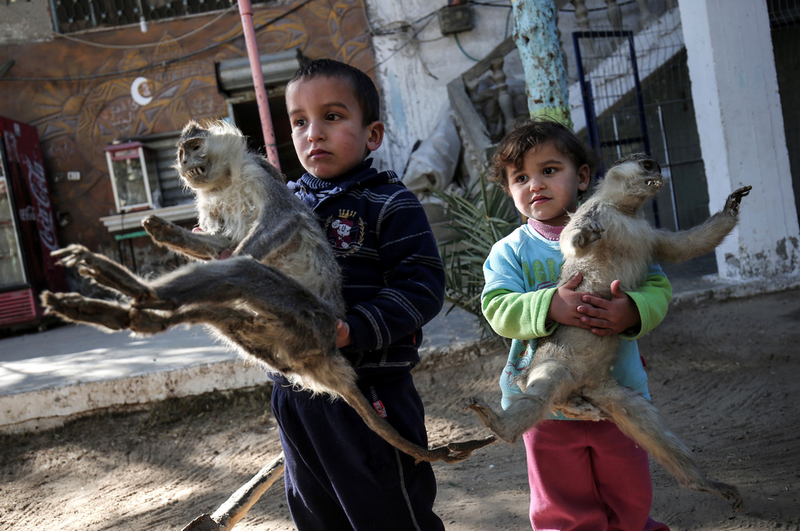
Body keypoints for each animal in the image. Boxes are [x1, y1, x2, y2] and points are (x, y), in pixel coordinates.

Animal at [45, 119, 494, 466]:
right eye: (181, 154)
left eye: (193, 147)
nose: (186, 165)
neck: (226, 181)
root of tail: (327, 358)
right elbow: (218, 243)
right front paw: (167, 233)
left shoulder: (261, 173)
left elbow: (278, 224)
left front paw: (218, 247)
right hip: (272, 339)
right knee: (218, 309)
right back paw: (123, 312)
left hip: (306, 319)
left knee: (241, 272)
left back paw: (134, 293)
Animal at [468, 154, 752, 512]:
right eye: (647, 164)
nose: (659, 169)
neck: (624, 212)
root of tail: (584, 386)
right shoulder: (593, 212)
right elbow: (570, 238)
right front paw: (581, 238)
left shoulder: (648, 235)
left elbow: (683, 247)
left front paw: (731, 207)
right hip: (556, 363)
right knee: (543, 389)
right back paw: (505, 425)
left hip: (608, 393)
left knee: (648, 426)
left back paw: (699, 481)